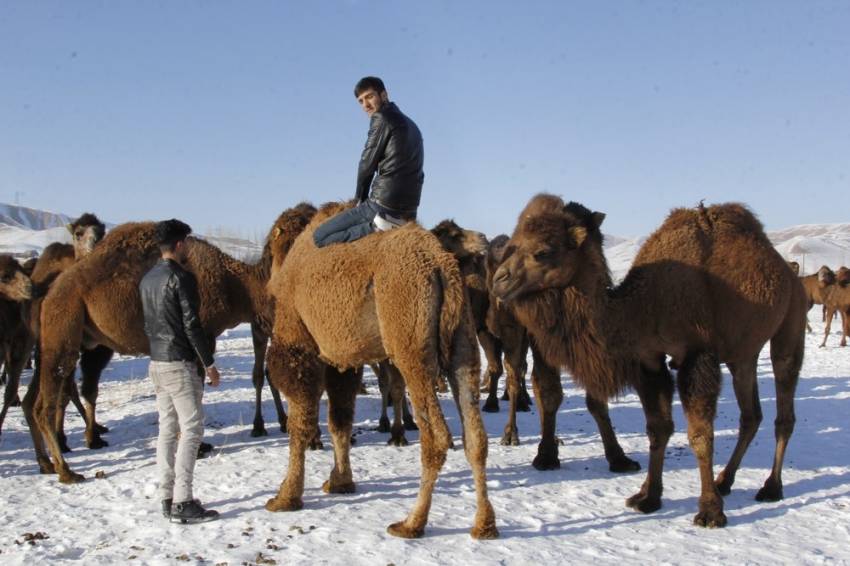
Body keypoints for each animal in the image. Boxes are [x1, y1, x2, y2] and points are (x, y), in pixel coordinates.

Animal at [29, 204, 316, 484]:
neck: (238, 286)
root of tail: (50, 292)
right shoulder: (203, 334)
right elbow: (195, 391)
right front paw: (199, 446)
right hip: (62, 325)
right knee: (46, 404)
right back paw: (66, 470)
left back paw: (48, 463)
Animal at [262, 202, 494, 540]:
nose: (483, 240)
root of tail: (441, 266)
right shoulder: (341, 357)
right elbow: (340, 419)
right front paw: (340, 482)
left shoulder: (298, 339)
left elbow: (300, 422)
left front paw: (285, 497)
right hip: (463, 339)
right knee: (475, 436)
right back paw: (484, 525)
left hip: (410, 340)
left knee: (436, 436)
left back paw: (411, 523)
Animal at [486, 195, 804, 528]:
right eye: (513, 245)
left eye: (543, 252)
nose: (499, 281)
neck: (642, 306)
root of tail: (789, 272)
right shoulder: (649, 360)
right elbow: (657, 427)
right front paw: (648, 497)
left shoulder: (697, 355)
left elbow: (699, 434)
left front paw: (709, 512)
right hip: (742, 354)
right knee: (750, 415)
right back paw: (725, 481)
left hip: (791, 323)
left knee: (784, 409)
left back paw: (770, 488)